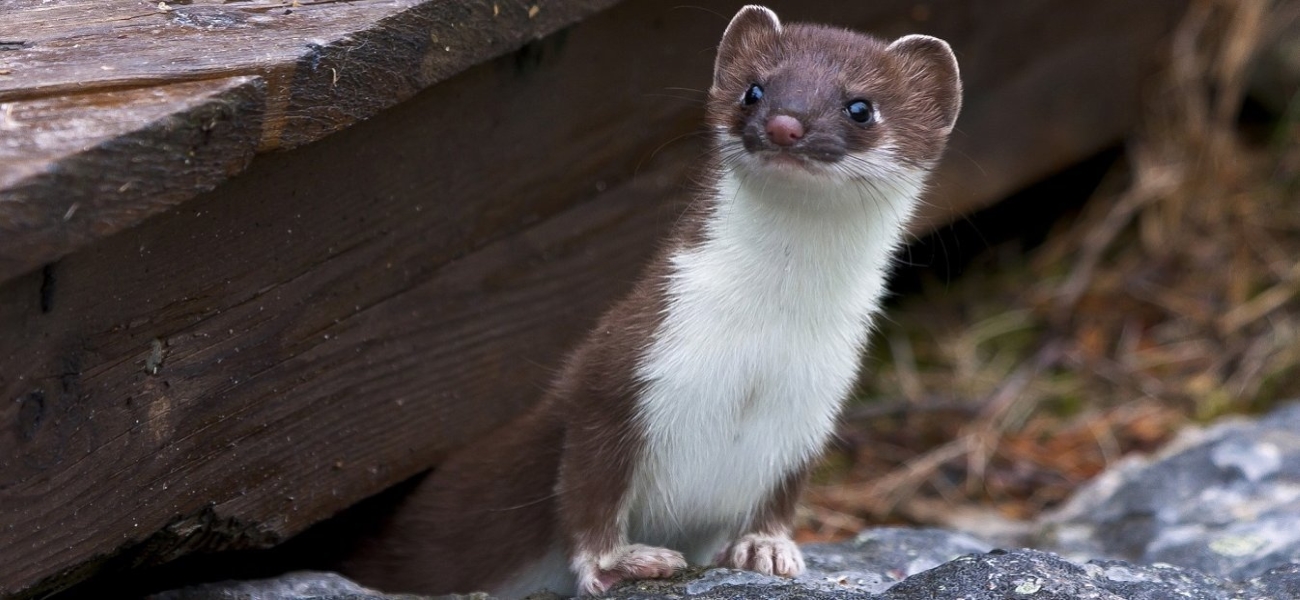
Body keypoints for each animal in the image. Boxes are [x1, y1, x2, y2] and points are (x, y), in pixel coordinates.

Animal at [340, 7, 961, 597]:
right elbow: (586, 491)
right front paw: (619, 562)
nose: (785, 124)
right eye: (754, 89)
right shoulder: (623, 367)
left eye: (860, 107)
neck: (762, 348)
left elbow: (780, 496)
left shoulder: (814, 405)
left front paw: (766, 548)